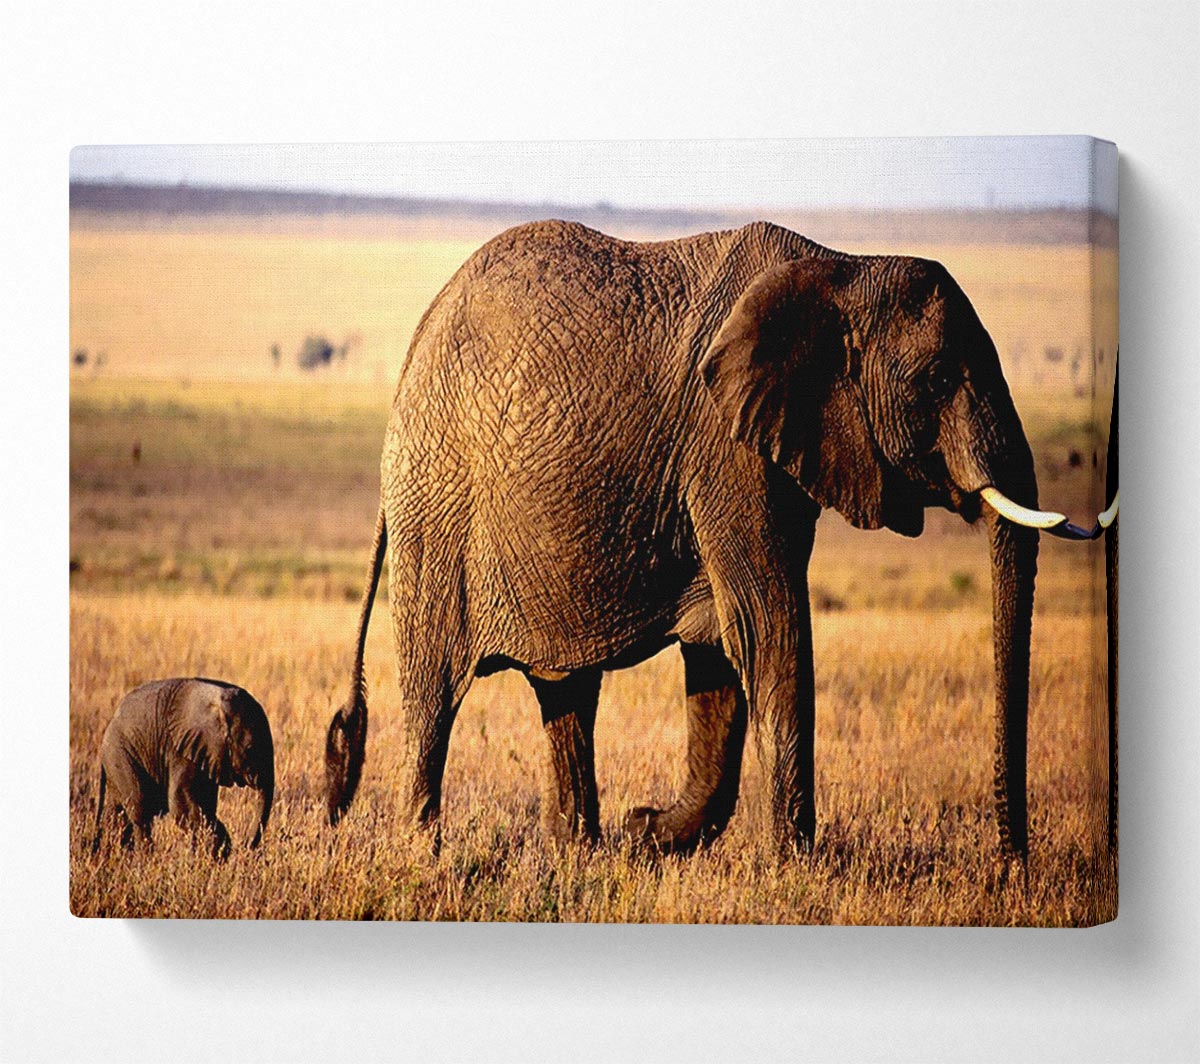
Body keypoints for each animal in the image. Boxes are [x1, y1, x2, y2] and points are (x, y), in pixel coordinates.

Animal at [92, 678, 274, 858]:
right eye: (250, 749)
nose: (245, 846)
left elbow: (205, 804)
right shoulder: (181, 749)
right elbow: (181, 804)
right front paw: (217, 852)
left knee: (117, 814)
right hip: (120, 754)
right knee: (139, 811)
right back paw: (144, 859)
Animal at [325, 218, 1082, 859]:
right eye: (938, 378)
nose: (1011, 864)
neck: (841, 266)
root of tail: (415, 345)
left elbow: (720, 647)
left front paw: (648, 833)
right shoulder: (725, 449)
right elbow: (767, 625)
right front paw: (794, 868)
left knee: (565, 693)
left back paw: (580, 853)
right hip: (436, 508)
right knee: (434, 695)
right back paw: (424, 853)